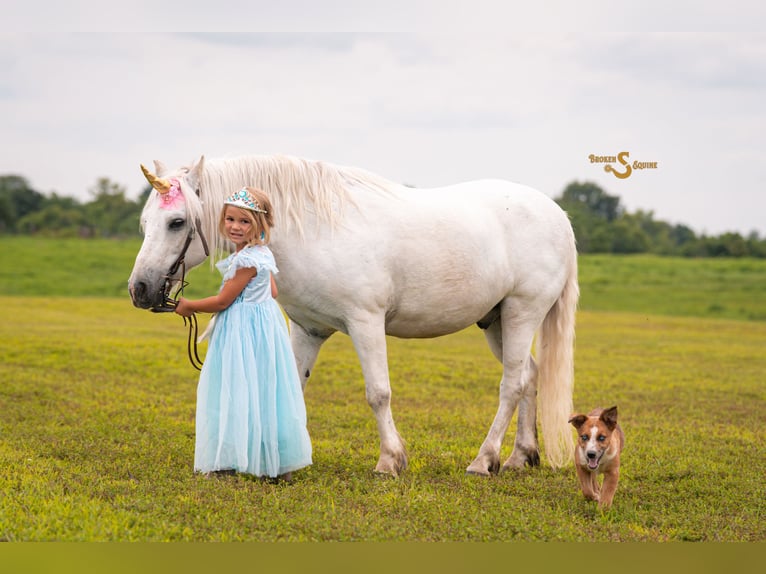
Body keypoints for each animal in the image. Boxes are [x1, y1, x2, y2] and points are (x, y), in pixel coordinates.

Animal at [128, 154, 579, 476]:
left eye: (177, 222)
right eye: (145, 223)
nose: (140, 289)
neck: (316, 230)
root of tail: (557, 214)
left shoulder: (366, 323)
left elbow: (378, 393)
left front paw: (390, 461)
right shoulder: (307, 329)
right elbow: (292, 386)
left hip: (521, 312)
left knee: (511, 385)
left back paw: (484, 460)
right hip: (496, 321)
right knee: (529, 376)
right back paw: (521, 456)